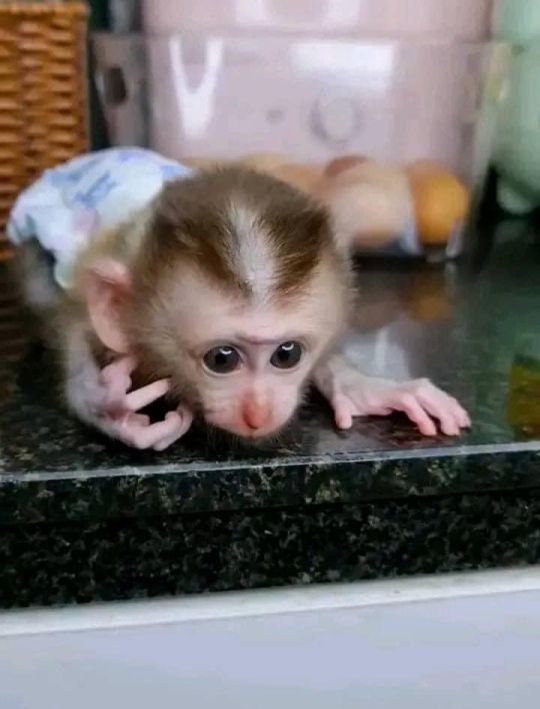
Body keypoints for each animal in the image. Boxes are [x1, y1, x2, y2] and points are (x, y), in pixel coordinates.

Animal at [8, 148, 470, 450]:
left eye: (287, 354)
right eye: (222, 359)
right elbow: (73, 329)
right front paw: (107, 405)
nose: (258, 413)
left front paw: (362, 385)